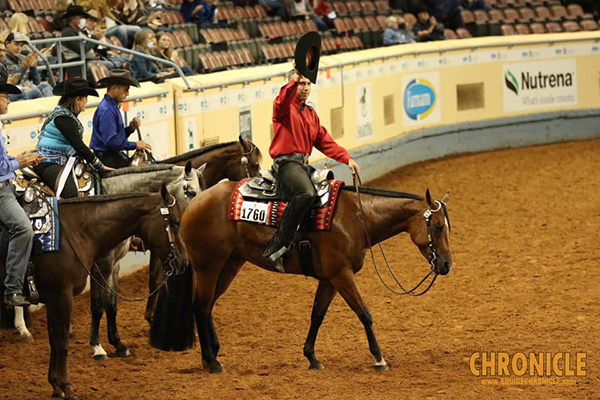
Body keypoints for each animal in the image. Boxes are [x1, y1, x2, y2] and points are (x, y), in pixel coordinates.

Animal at [0, 186, 188, 398]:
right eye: (175, 222)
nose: (184, 261)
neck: (74, 232)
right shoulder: (62, 296)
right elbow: (63, 342)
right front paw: (67, 386)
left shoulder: (56, 298)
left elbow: (55, 340)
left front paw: (56, 386)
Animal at [180, 182, 452, 376]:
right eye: (438, 226)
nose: (447, 264)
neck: (357, 217)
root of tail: (195, 202)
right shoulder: (341, 274)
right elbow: (364, 313)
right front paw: (379, 359)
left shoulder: (330, 279)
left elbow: (317, 315)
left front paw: (311, 357)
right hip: (208, 266)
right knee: (199, 306)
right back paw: (211, 361)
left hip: (229, 264)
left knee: (208, 305)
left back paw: (213, 353)